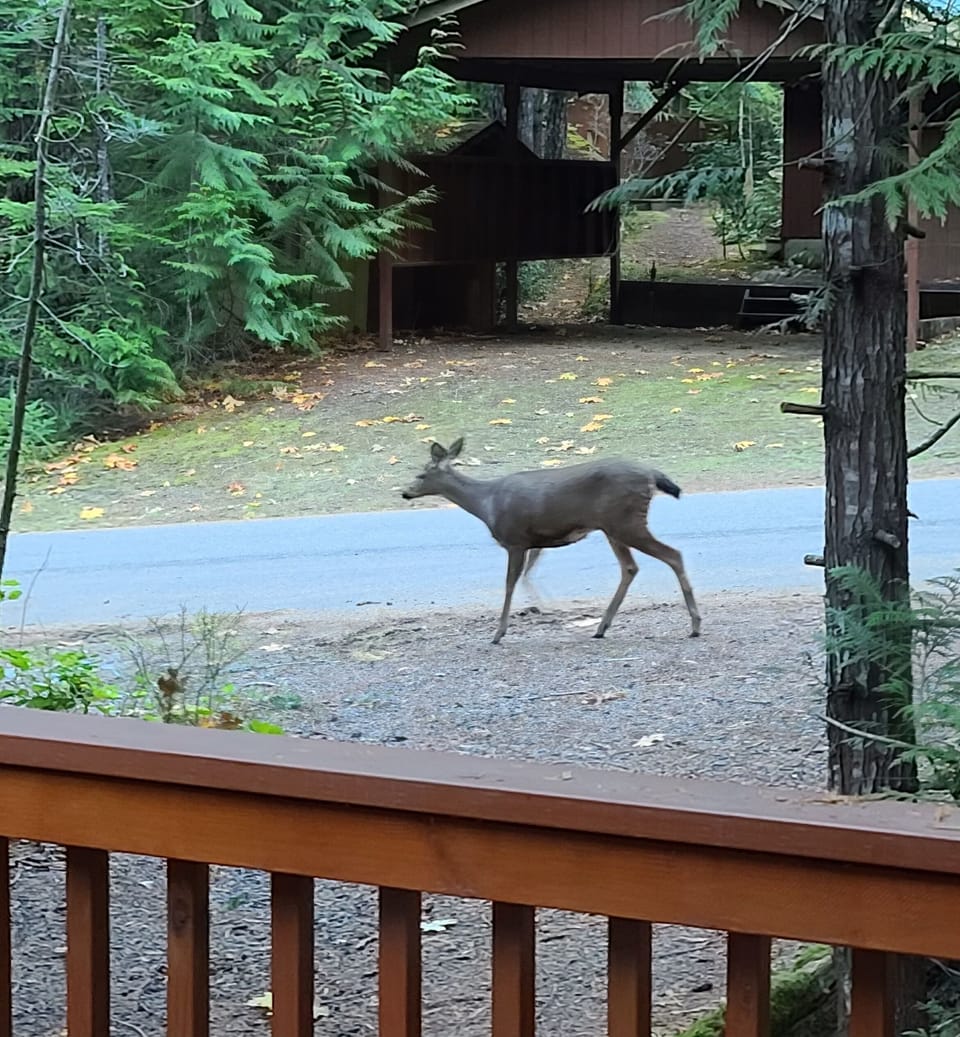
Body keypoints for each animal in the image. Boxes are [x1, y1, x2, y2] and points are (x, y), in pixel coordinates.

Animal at [401, 438, 700, 644]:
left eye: (421, 474)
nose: (405, 492)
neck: (486, 504)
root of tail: (652, 475)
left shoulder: (515, 540)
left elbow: (509, 584)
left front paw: (499, 633)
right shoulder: (531, 544)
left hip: (626, 522)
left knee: (672, 554)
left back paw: (695, 624)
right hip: (613, 527)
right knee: (630, 567)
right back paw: (601, 628)